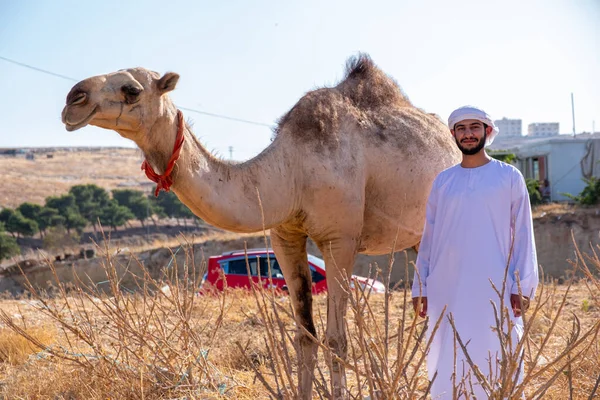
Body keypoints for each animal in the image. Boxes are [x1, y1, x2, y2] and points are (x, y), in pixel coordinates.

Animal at [62, 54, 460, 398]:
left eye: (130, 89)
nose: (73, 99)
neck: (290, 172)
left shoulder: (340, 238)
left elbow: (336, 340)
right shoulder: (285, 236)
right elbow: (304, 335)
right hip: (417, 239)